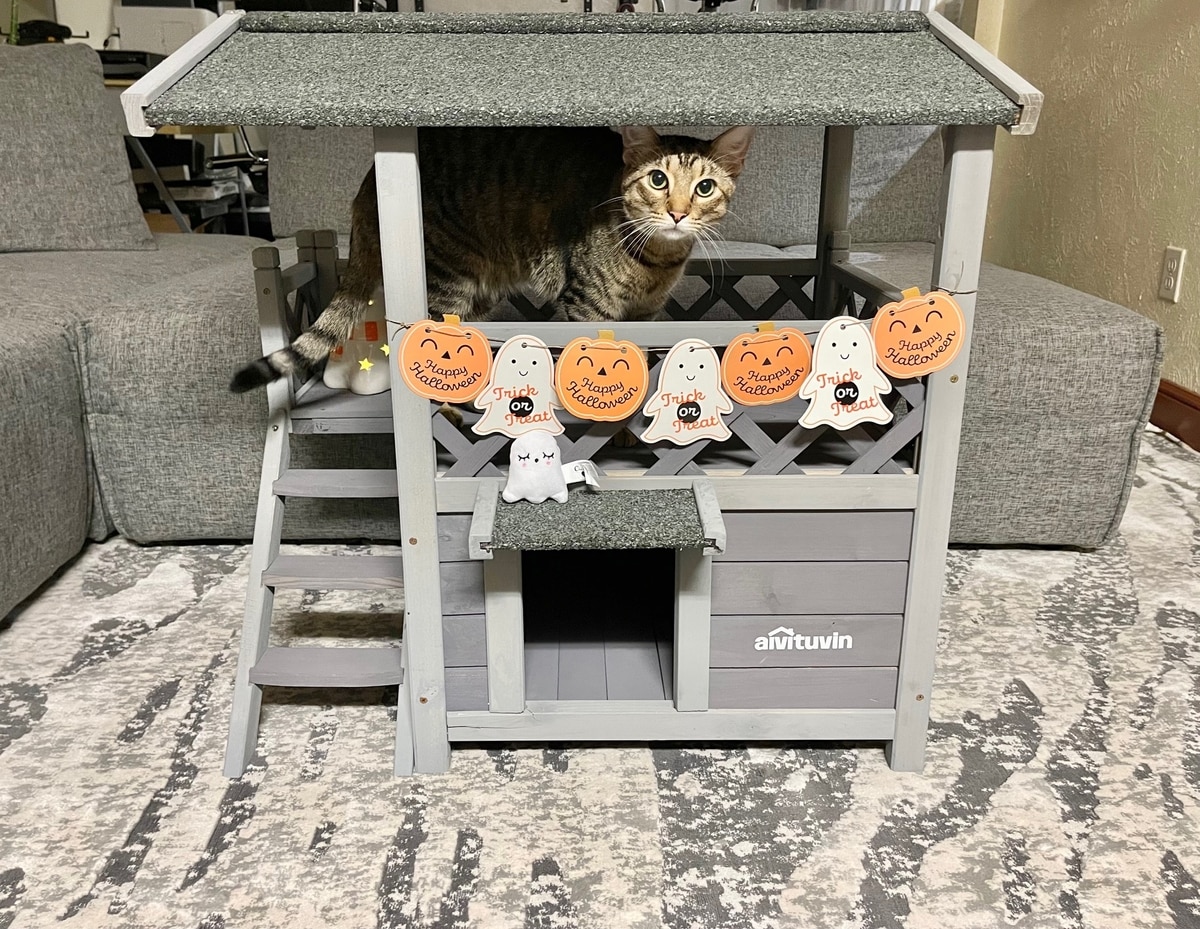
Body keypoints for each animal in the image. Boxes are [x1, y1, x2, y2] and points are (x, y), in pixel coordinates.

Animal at [230, 124, 754, 393]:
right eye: (658, 181)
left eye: (705, 187)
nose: (678, 213)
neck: (655, 260)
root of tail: (369, 182)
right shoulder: (587, 307)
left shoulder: (646, 316)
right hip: (449, 281)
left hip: (480, 293)